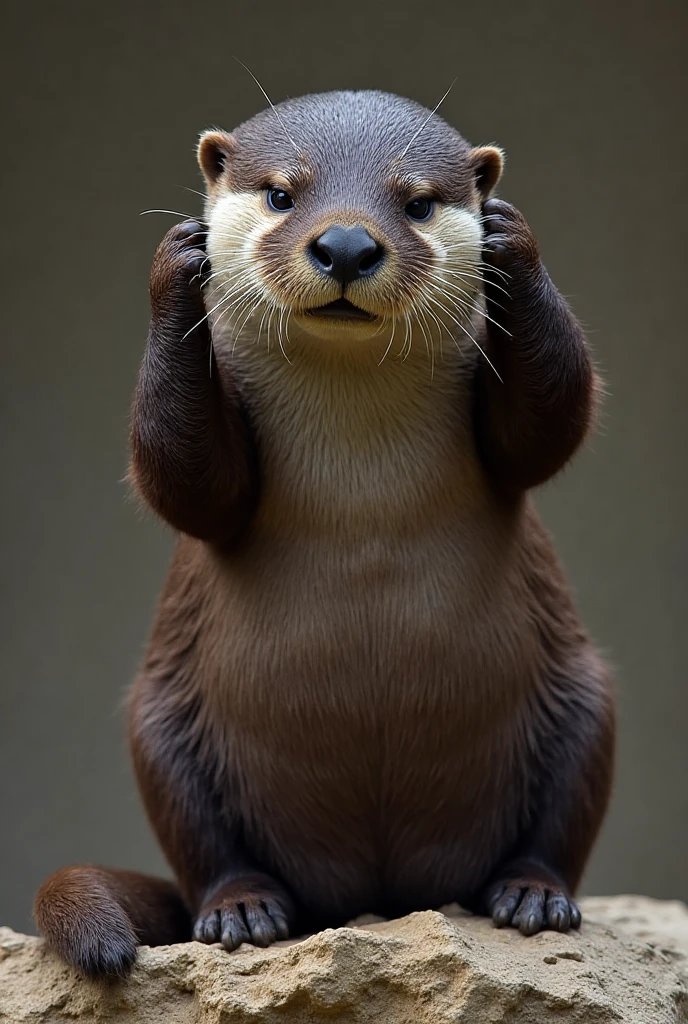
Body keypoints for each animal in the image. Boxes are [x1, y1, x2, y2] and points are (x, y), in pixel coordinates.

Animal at [34, 89, 614, 979]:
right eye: (282, 193)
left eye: (417, 202)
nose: (345, 243)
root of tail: (374, 895)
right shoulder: (206, 477)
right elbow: (186, 484)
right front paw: (178, 259)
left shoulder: (514, 439)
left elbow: (550, 427)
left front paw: (512, 236)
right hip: (160, 731)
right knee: (207, 850)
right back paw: (242, 911)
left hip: (585, 702)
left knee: (556, 824)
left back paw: (532, 896)